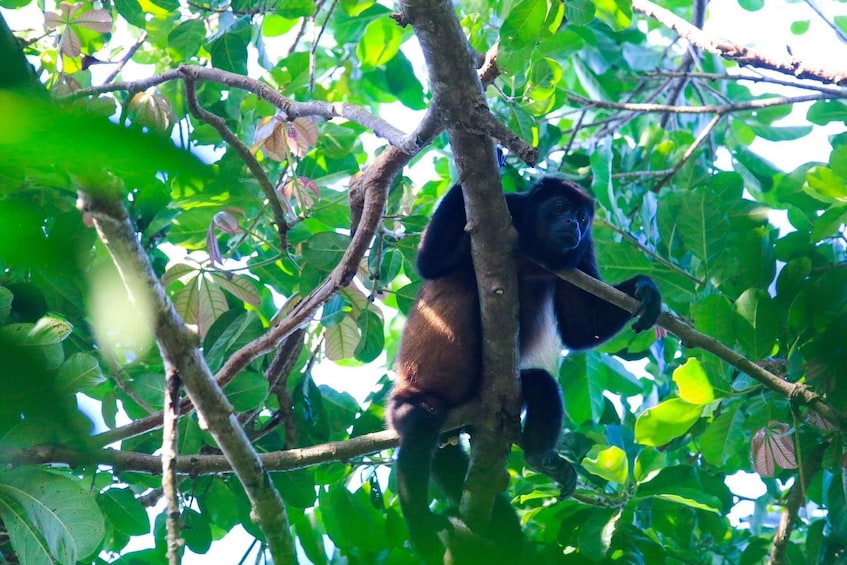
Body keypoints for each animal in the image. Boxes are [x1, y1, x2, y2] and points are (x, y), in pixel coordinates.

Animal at [386, 178, 664, 556]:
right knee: (418, 426)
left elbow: (581, 328)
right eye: (560, 208)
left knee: (539, 385)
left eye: (582, 217)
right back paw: (421, 527)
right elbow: (431, 263)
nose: (574, 224)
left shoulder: (582, 254)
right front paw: (483, 167)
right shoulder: (509, 211)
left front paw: (643, 288)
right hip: (407, 403)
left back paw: (538, 459)